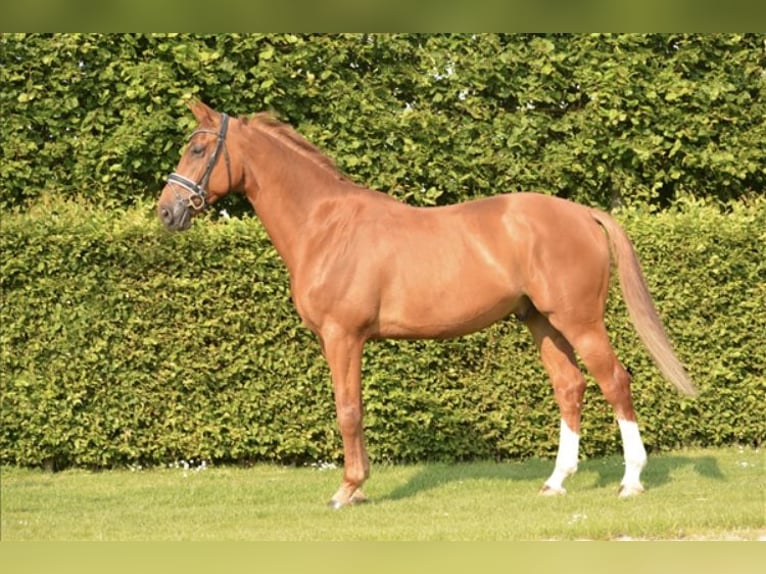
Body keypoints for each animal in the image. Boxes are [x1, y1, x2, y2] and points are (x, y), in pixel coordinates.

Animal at [157, 101, 696, 508]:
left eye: (198, 148)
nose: (167, 211)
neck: (325, 225)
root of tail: (582, 213)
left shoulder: (342, 336)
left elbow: (347, 409)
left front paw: (347, 490)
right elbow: (355, 408)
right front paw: (357, 487)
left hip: (580, 322)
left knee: (615, 381)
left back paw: (630, 481)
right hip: (543, 323)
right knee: (571, 388)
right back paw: (555, 482)